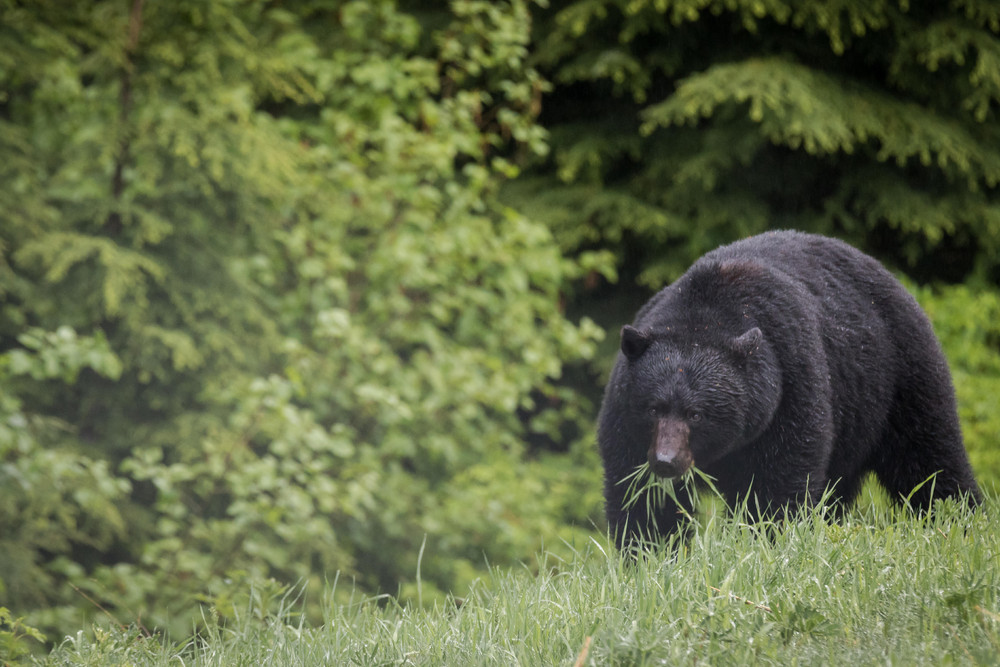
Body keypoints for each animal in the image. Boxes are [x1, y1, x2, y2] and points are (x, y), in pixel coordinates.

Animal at [596, 231, 980, 548]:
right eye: (653, 408)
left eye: (696, 413)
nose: (666, 460)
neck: (705, 314)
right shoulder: (626, 418)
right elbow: (640, 495)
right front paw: (650, 553)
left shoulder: (790, 385)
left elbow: (778, 483)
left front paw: (767, 542)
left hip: (898, 374)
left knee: (929, 456)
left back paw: (960, 523)